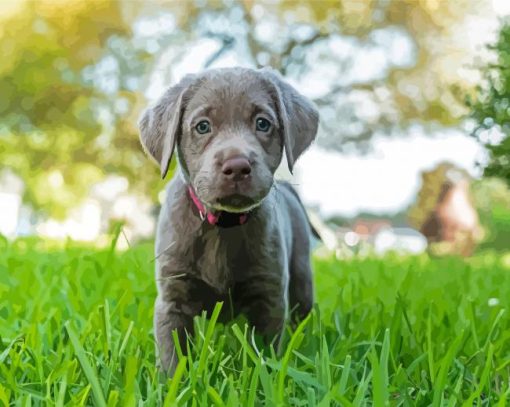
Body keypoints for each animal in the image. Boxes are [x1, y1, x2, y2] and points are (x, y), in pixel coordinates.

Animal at [138, 67, 318, 372]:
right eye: (202, 126)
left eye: (262, 123)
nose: (237, 166)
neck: (222, 226)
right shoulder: (172, 298)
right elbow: (173, 356)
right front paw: (172, 381)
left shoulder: (269, 295)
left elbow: (263, 354)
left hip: (301, 275)